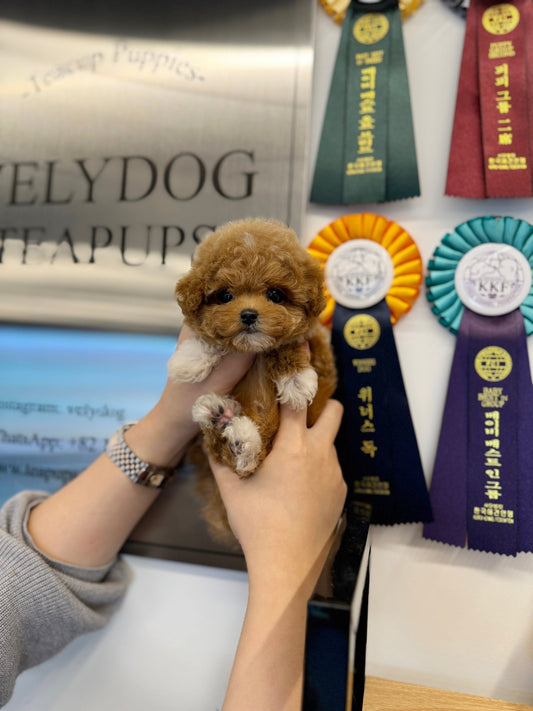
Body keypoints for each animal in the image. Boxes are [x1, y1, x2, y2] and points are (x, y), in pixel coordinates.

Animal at [166, 217, 336, 540]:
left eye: (275, 295)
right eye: (225, 296)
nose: (248, 314)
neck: (252, 350)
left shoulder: (318, 350)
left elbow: (288, 345)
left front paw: (296, 380)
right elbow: (211, 340)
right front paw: (190, 358)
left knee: (247, 464)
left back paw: (235, 432)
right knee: (230, 456)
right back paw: (223, 421)